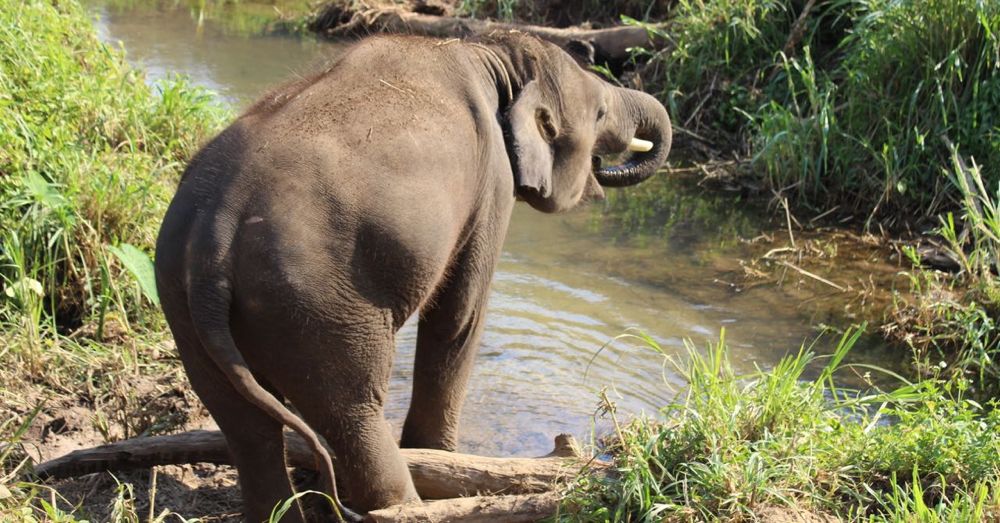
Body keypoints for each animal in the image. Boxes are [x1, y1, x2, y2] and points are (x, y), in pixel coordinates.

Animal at [156, 30, 672, 520]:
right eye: (601, 112)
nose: (606, 167)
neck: (492, 55)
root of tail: (212, 239)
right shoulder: (492, 184)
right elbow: (460, 314)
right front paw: (443, 457)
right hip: (312, 308)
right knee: (353, 416)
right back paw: (404, 505)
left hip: (186, 309)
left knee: (247, 428)